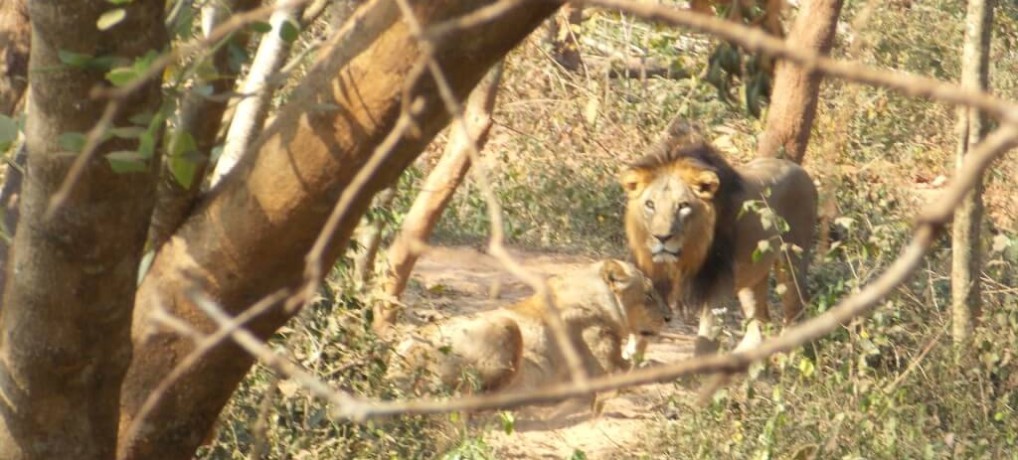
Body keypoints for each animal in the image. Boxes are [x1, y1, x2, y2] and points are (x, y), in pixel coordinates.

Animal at [618, 122, 818, 356]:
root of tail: (800, 170)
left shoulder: (716, 288)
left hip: (791, 264)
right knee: (759, 324)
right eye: (650, 205)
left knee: (796, 310)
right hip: (752, 277)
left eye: (683, 206)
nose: (662, 237)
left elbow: (705, 343)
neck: (684, 257)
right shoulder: (653, 278)